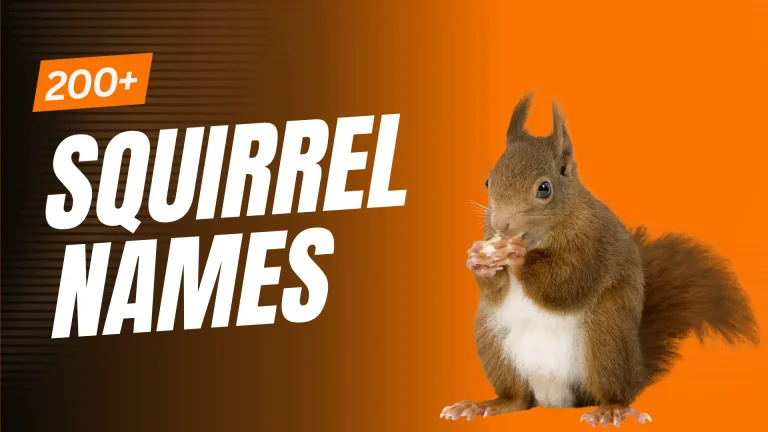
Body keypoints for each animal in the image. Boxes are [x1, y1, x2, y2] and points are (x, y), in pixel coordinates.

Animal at [440, 93, 760, 427]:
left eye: (544, 189)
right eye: (488, 182)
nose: (501, 225)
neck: (538, 236)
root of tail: (554, 396)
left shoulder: (590, 244)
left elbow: (566, 282)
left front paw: (519, 256)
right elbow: (494, 290)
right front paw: (478, 259)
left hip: (606, 335)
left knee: (612, 389)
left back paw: (611, 410)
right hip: (492, 340)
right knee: (517, 399)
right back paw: (482, 406)